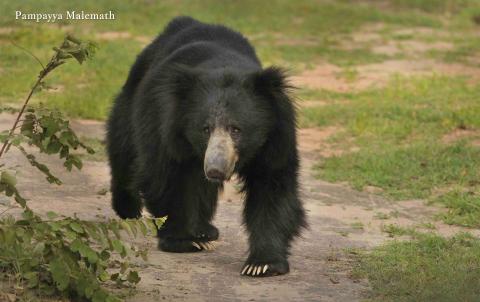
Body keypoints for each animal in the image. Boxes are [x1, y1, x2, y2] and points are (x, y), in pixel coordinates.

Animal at [107, 15, 306, 276]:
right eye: (205, 129)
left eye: (236, 129)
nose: (215, 169)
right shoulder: (166, 124)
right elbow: (167, 178)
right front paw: (184, 240)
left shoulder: (275, 138)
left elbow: (272, 188)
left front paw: (262, 264)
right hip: (133, 101)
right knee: (124, 147)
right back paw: (128, 209)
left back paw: (205, 229)